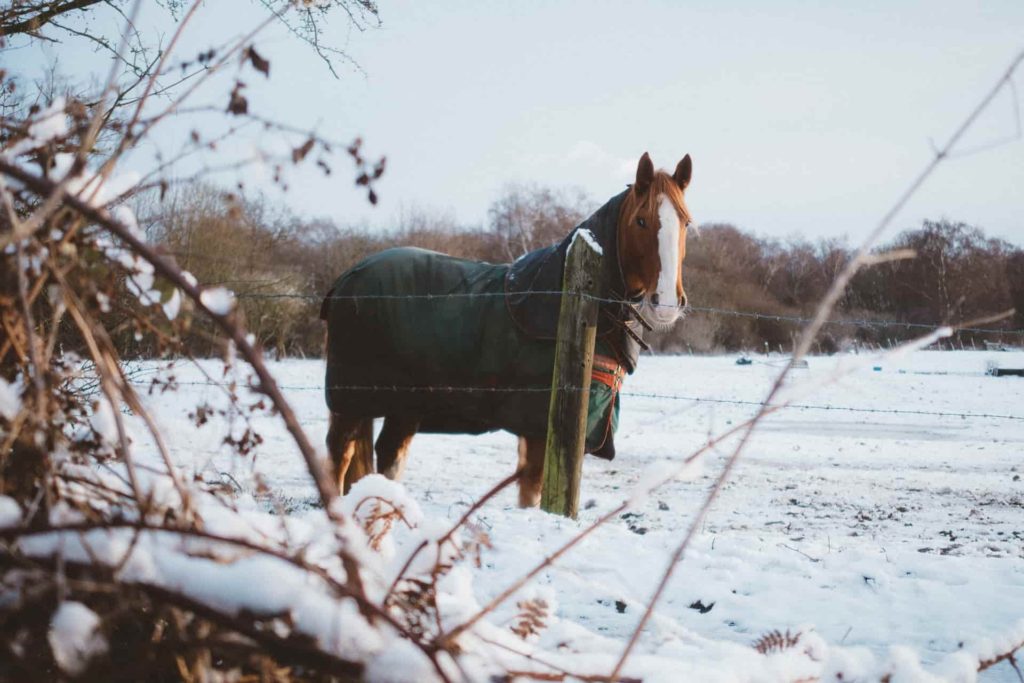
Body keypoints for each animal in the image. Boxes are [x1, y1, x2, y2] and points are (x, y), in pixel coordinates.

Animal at [315, 153, 692, 507]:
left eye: (686, 222)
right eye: (641, 221)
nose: (666, 303)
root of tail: (347, 279)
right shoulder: (539, 428)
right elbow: (532, 495)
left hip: (402, 405)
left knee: (389, 456)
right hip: (351, 402)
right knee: (339, 457)